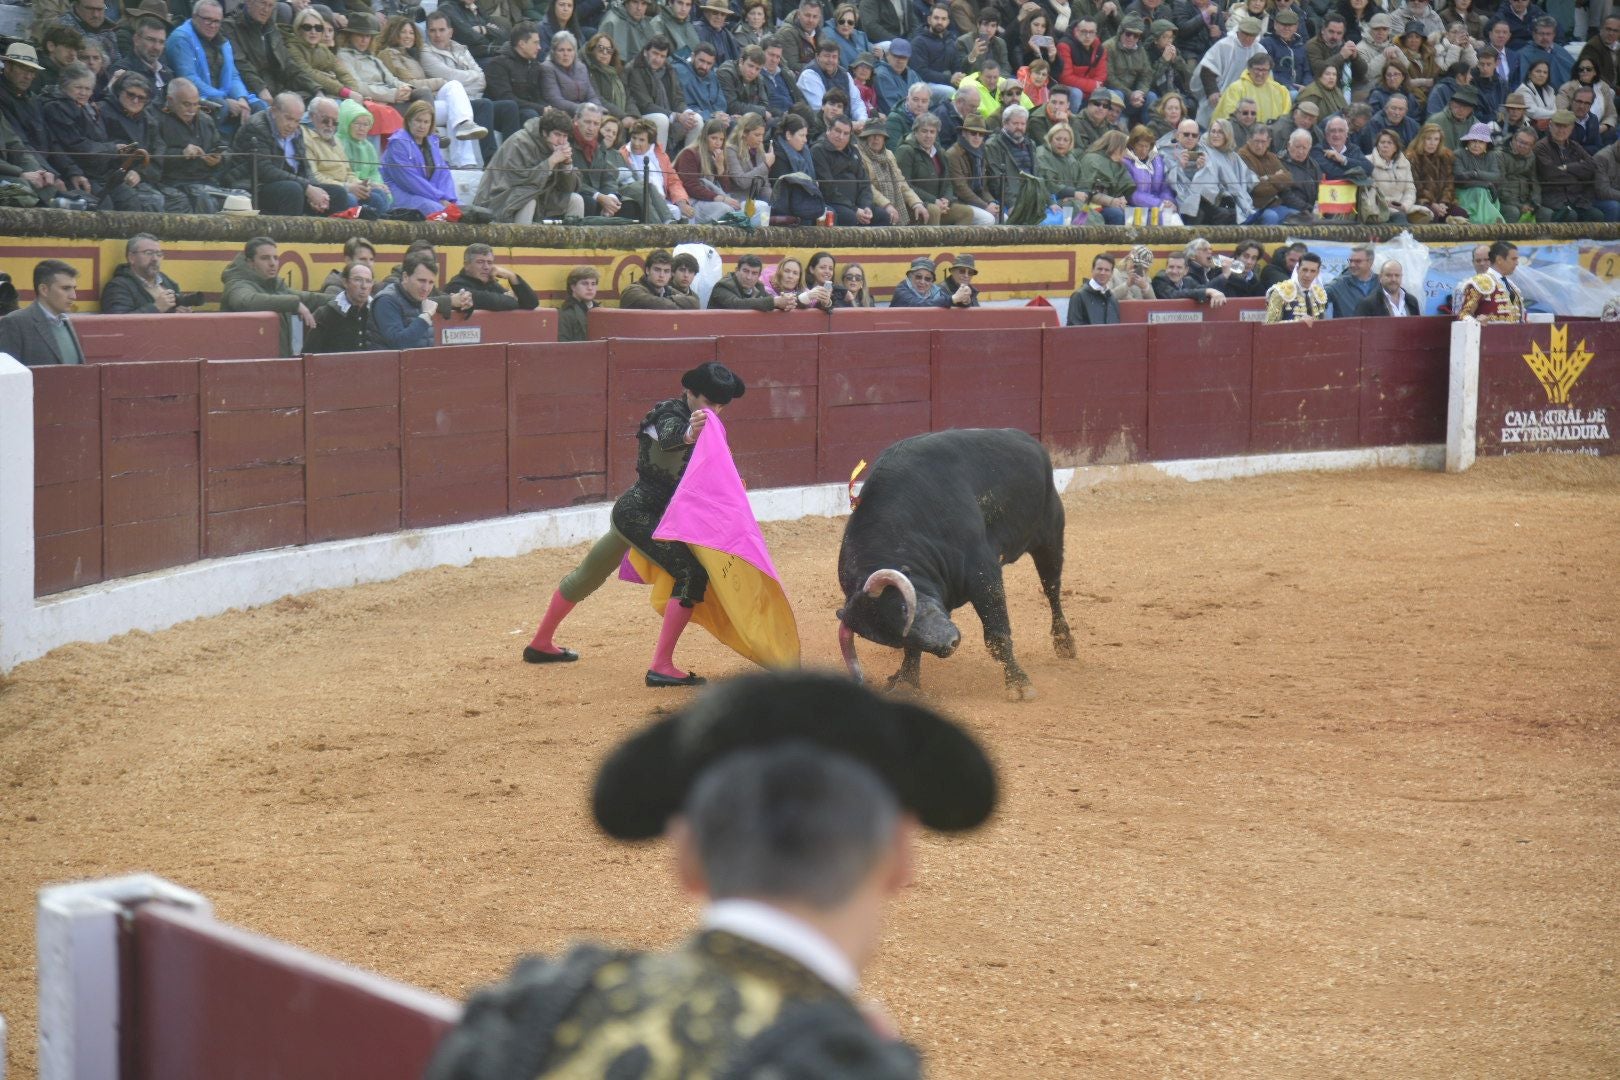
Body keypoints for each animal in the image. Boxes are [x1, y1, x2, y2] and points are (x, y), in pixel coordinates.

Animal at [835, 430, 1075, 702]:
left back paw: (1064, 642)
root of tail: (1029, 440)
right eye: (893, 638)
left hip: (1050, 537)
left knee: (1052, 587)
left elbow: (997, 635)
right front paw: (906, 681)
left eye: (906, 610)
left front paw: (1019, 684)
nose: (949, 644)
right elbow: (912, 651)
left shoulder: (983, 573)